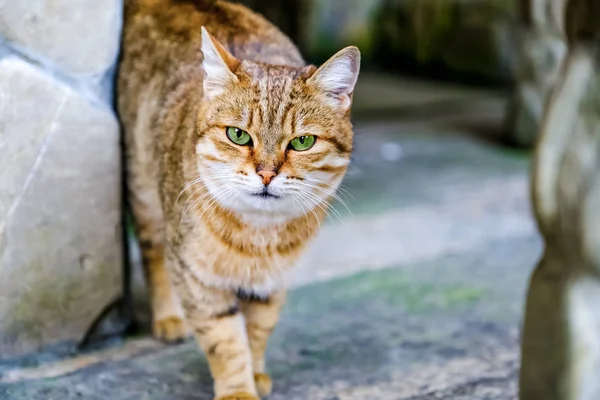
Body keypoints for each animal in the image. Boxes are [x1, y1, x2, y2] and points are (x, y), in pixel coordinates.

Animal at [118, 1, 360, 398]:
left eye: (302, 141)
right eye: (238, 135)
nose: (266, 173)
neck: (257, 235)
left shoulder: (271, 282)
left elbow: (258, 329)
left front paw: (256, 371)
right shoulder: (198, 279)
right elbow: (226, 342)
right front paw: (238, 389)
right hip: (144, 189)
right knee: (153, 253)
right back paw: (168, 316)